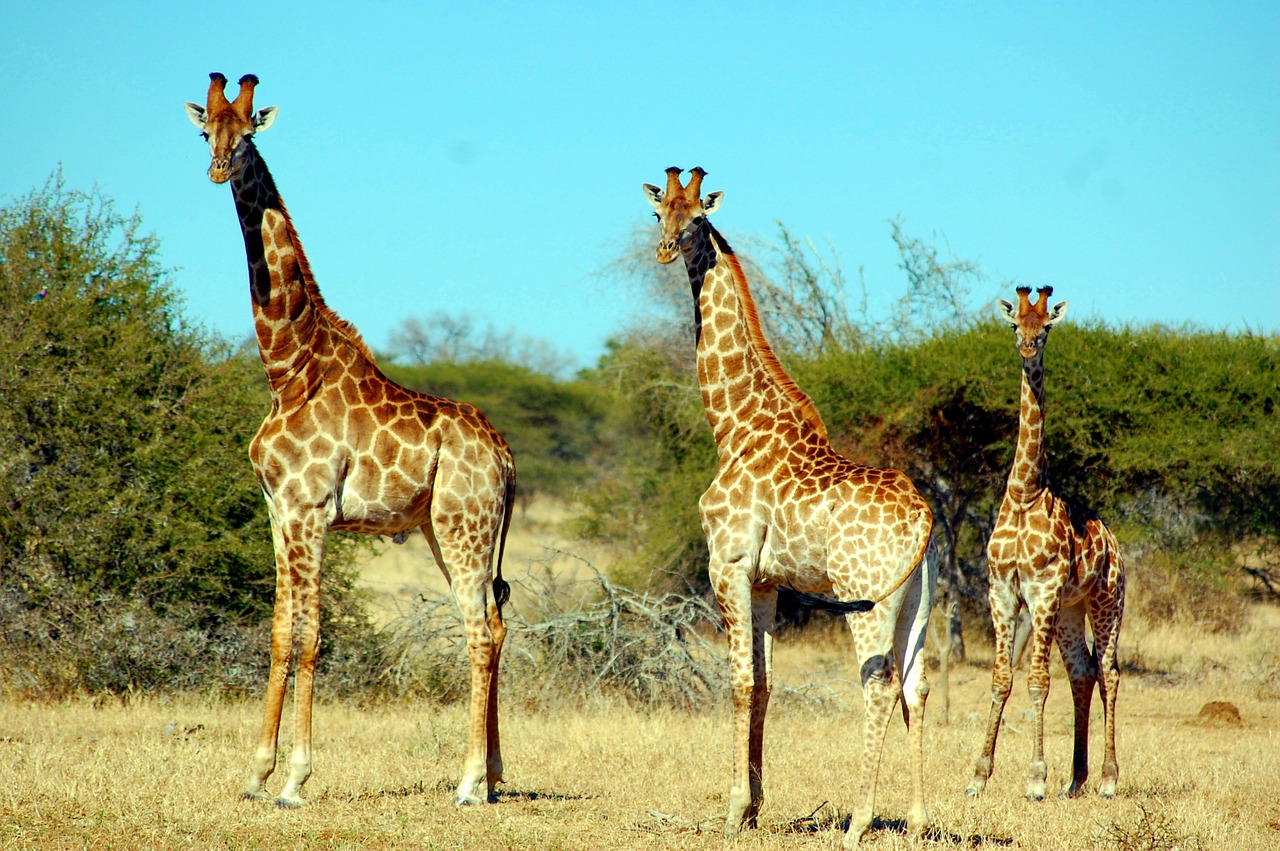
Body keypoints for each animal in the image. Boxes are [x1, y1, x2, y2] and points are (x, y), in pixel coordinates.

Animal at [185, 72, 514, 803]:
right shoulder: (278, 511)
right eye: (206, 130)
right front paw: (256, 773)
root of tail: (508, 461)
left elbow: (310, 635)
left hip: (463, 527)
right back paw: (494, 776)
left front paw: (295, 778)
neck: (288, 366)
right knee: (498, 621)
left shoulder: (310, 511)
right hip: (446, 531)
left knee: (479, 631)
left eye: (247, 133)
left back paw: (467, 783)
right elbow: (279, 631)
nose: (218, 168)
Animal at [645, 167, 936, 844]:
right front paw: (753, 808)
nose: (666, 250)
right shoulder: (766, 581)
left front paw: (732, 811)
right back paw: (916, 819)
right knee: (917, 686)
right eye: (657, 212)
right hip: (919, 601)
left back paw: (858, 823)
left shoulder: (726, 566)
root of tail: (924, 516)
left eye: (698, 217)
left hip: (866, 597)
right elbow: (765, 683)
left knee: (880, 684)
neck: (733, 426)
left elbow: (737, 680)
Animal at [962, 286, 1126, 803]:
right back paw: (1076, 779)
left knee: (1109, 672)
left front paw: (1035, 777)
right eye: (1016, 324)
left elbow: (1036, 682)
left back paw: (1108, 779)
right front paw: (978, 777)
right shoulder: (1000, 591)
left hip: (1106, 601)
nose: (1028, 348)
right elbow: (1000, 679)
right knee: (1083, 672)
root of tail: (1115, 544)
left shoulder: (1042, 591)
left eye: (1047, 326)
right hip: (1073, 610)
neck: (1023, 493)